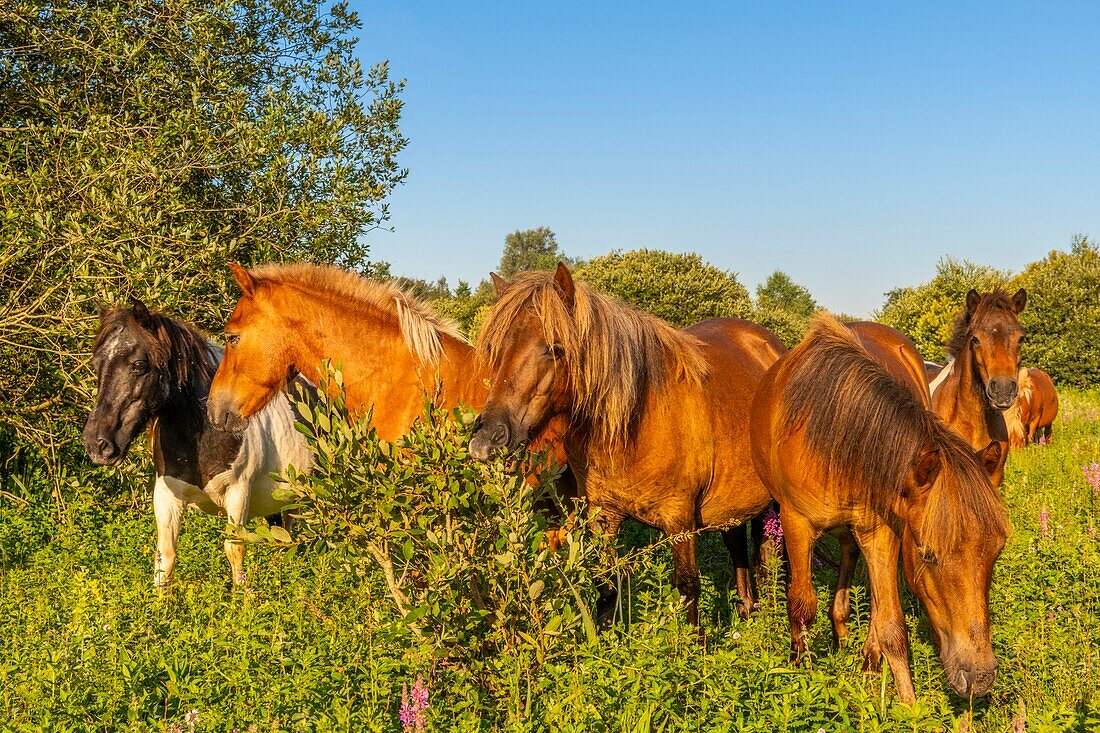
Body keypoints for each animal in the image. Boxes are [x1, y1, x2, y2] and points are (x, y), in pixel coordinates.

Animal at [82, 297, 310, 589]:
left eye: (138, 364)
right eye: (97, 364)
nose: (97, 445)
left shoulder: (238, 494)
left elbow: (235, 549)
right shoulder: (166, 495)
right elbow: (165, 557)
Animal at [468, 263, 787, 620]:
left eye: (555, 349)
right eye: (495, 350)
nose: (488, 438)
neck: (634, 425)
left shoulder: (680, 519)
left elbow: (688, 588)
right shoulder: (603, 515)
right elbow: (607, 587)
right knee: (736, 543)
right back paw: (746, 608)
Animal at [752, 310, 1007, 699]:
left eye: (996, 551)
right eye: (927, 554)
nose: (979, 676)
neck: (835, 428)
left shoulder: (880, 529)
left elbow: (891, 625)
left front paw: (908, 703)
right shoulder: (797, 522)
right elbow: (801, 604)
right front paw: (799, 673)